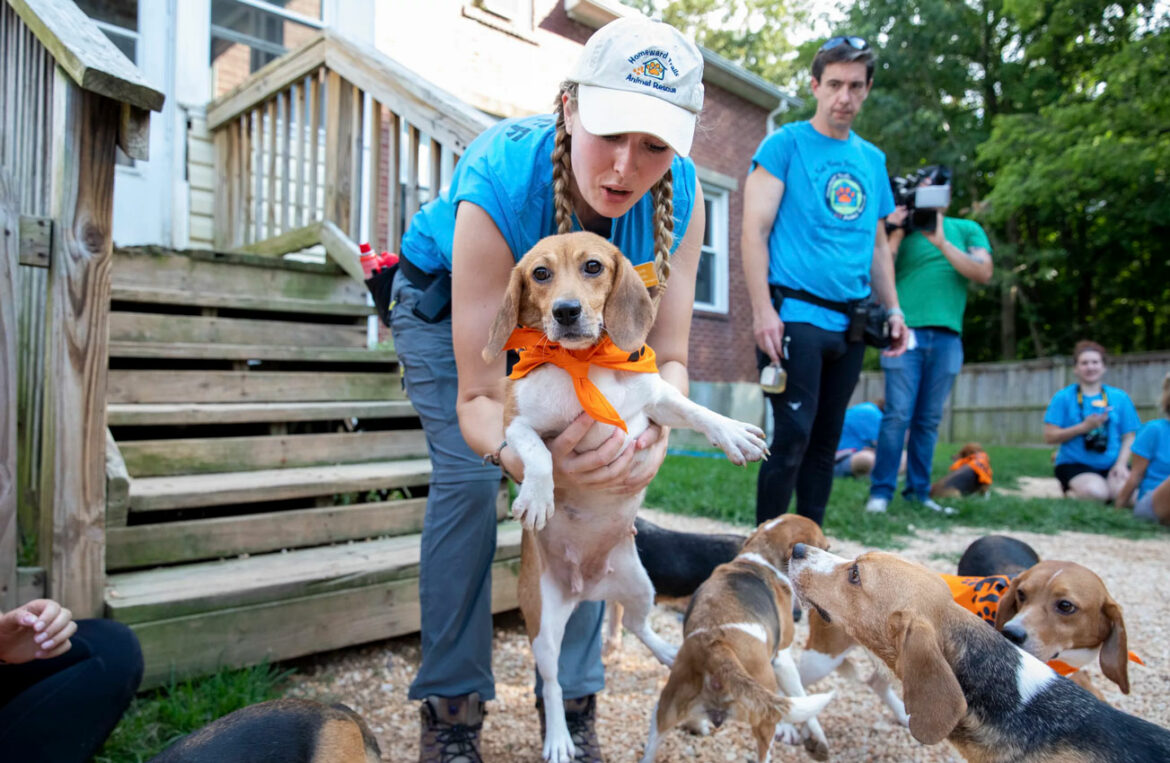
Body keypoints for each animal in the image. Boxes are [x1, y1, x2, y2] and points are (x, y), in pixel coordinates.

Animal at [479, 232, 772, 763]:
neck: (584, 364)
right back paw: (559, 737)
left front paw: (732, 433)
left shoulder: (657, 401)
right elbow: (539, 454)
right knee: (553, 685)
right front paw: (538, 496)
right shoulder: (516, 428)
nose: (566, 312)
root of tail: (586, 588)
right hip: (544, 628)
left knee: (638, 628)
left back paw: (669, 652)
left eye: (593, 267)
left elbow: (696, 411)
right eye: (539, 274)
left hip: (639, 588)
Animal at [641, 512, 833, 763]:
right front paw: (818, 738)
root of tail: (716, 648)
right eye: (824, 546)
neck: (758, 559)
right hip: (764, 717)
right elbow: (799, 693)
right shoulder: (782, 657)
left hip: (664, 708)